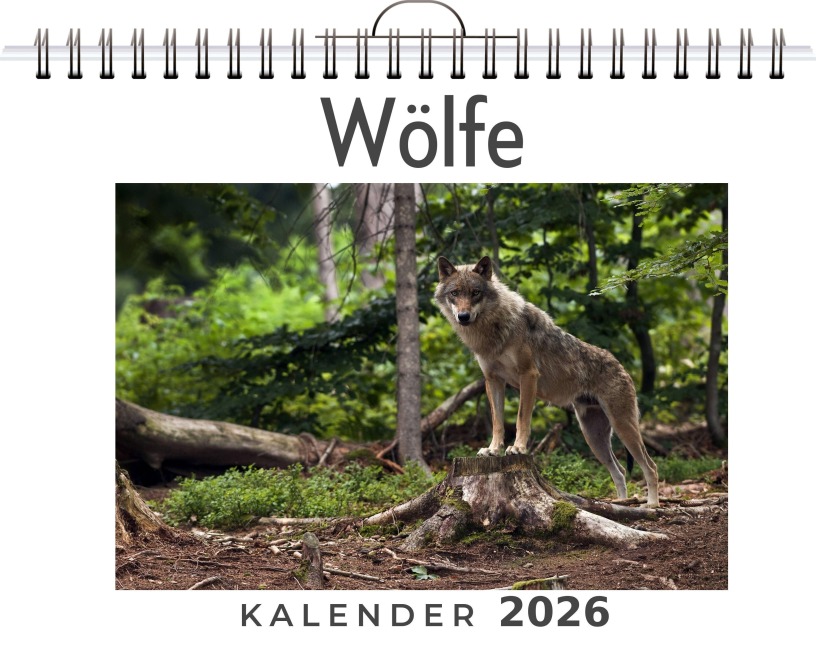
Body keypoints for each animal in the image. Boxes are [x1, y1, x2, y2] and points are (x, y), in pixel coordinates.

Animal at [435, 256, 660, 507]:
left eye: (475, 293)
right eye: (455, 293)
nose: (463, 317)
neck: (494, 330)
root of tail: (621, 366)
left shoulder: (528, 375)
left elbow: (521, 418)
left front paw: (518, 448)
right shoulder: (493, 380)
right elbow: (498, 422)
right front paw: (493, 450)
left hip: (622, 428)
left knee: (650, 466)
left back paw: (652, 505)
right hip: (594, 438)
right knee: (619, 471)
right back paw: (622, 503)